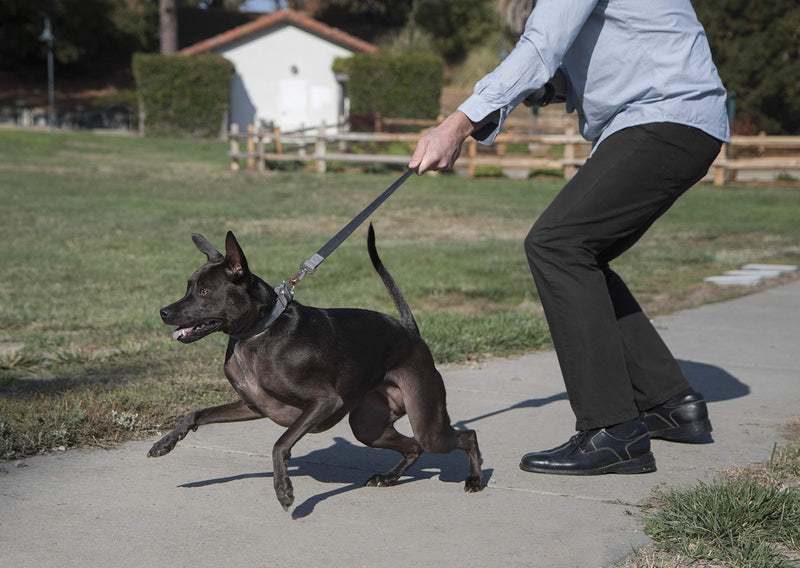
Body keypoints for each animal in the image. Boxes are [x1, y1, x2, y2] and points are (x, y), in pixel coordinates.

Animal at [152, 226, 484, 510]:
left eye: (205, 292)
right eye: (189, 287)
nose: (163, 312)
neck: (261, 331)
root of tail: (409, 331)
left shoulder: (323, 402)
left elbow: (280, 444)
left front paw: (284, 489)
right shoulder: (252, 405)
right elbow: (196, 414)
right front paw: (165, 443)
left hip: (427, 423)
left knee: (465, 435)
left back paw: (475, 479)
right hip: (369, 427)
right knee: (414, 447)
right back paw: (389, 478)